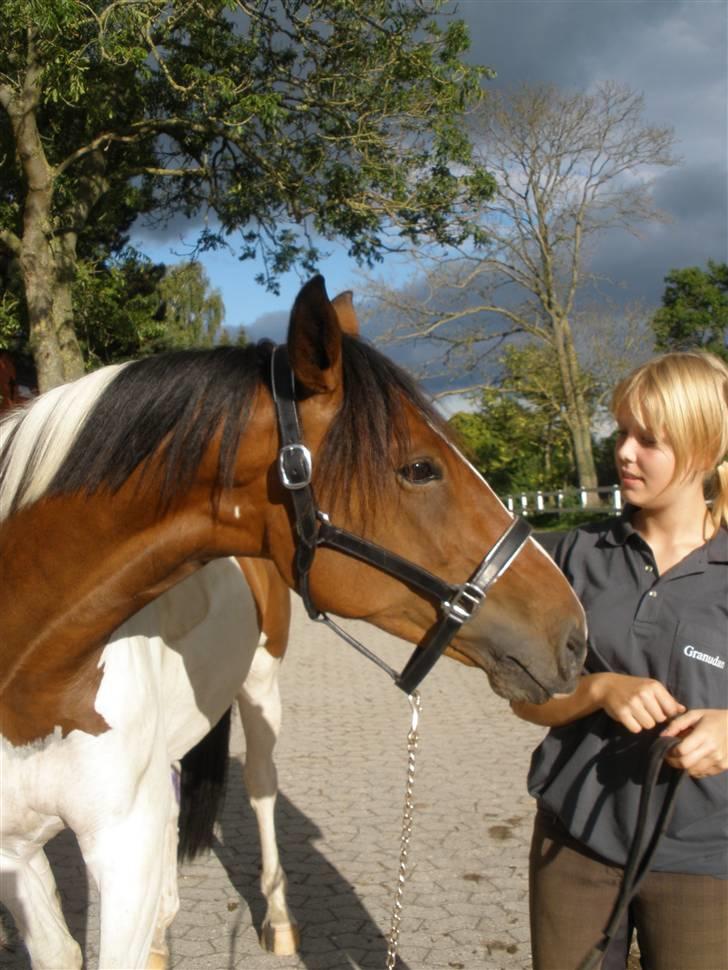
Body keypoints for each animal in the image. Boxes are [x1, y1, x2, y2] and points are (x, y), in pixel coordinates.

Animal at [0, 276, 584, 964]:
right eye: (419, 468)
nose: (573, 635)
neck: (31, 674)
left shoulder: (122, 846)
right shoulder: (23, 855)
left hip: (260, 686)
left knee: (259, 787)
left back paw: (276, 919)